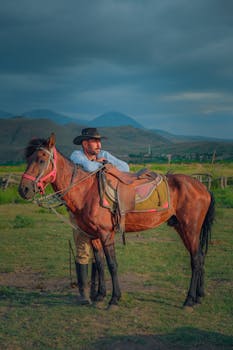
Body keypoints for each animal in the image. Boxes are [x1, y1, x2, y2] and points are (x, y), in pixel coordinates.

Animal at [17, 133, 215, 308]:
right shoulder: (93, 235)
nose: (24, 189)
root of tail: (202, 187)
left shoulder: (106, 234)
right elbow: (99, 263)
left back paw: (189, 300)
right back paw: (199, 296)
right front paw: (99, 296)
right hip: (182, 228)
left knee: (196, 260)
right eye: (28, 159)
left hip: (190, 228)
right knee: (200, 257)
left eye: (41, 160)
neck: (86, 191)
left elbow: (112, 264)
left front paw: (114, 299)